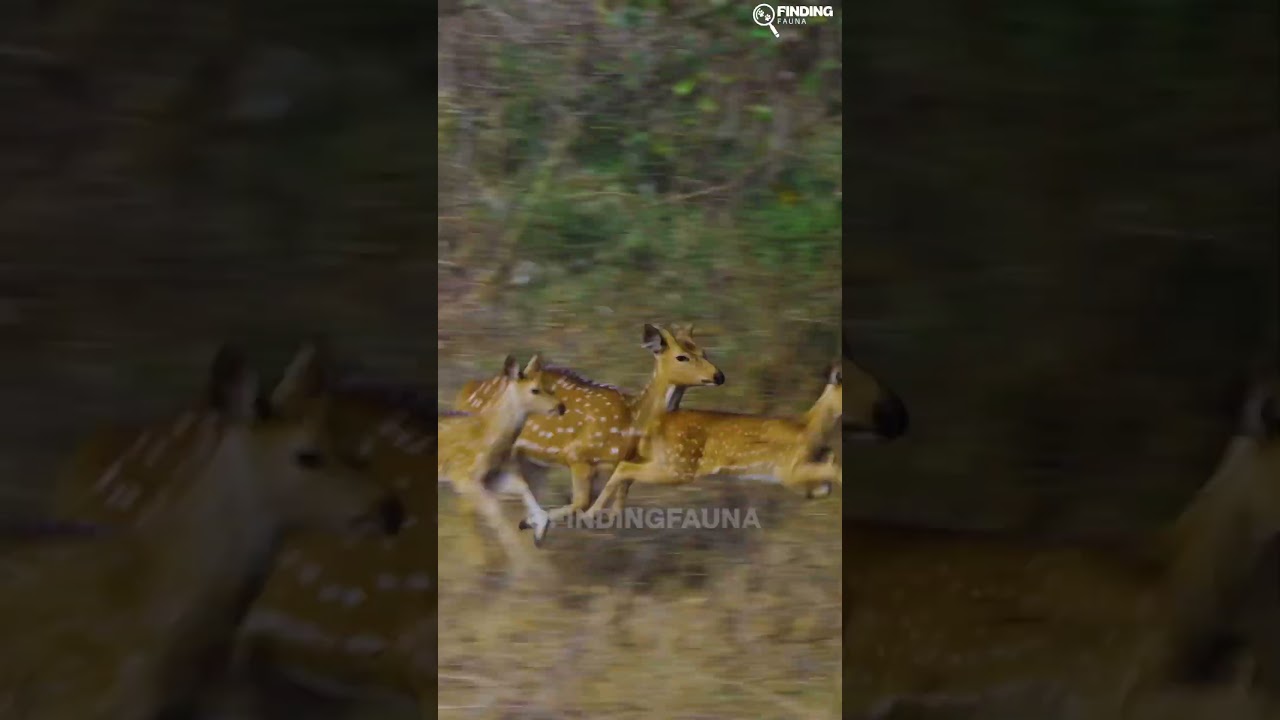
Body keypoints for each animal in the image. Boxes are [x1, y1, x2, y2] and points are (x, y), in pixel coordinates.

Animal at [453, 323, 726, 539]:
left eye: (703, 351)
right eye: (682, 357)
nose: (719, 375)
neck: (631, 422)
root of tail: (465, 392)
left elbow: (615, 508)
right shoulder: (578, 455)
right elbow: (581, 503)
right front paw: (534, 524)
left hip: (531, 460)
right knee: (469, 500)